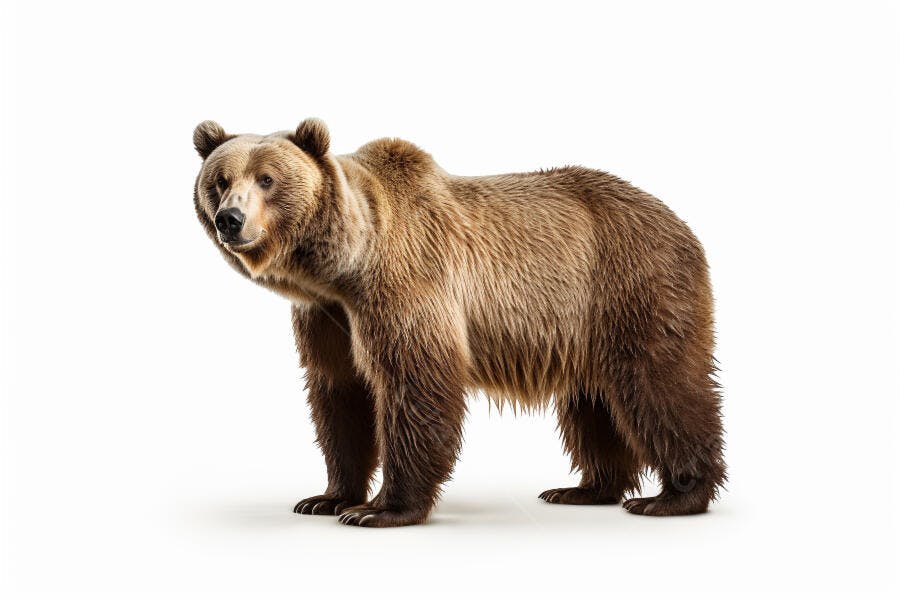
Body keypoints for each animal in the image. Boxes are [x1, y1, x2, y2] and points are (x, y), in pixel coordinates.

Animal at [192, 118, 726, 527]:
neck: (344, 268)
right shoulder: (328, 317)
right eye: (220, 180)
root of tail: (679, 221)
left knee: (660, 384)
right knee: (592, 405)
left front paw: (380, 509)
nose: (230, 219)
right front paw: (327, 497)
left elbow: (413, 383)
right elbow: (338, 392)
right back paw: (585, 488)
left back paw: (674, 495)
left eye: (267, 179)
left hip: (633, 284)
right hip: (584, 323)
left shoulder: (404, 283)